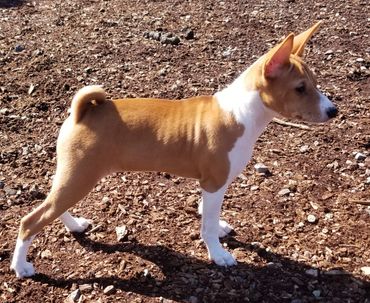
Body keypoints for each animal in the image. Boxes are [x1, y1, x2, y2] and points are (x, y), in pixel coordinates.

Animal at [11, 21, 336, 278]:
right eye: (300, 88)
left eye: (315, 84)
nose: (333, 111)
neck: (242, 113)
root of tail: (81, 113)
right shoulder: (215, 182)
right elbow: (207, 226)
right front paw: (218, 255)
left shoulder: (210, 185)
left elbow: (208, 214)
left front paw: (218, 228)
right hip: (81, 175)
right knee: (31, 220)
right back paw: (21, 267)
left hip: (74, 174)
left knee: (52, 205)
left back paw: (74, 224)